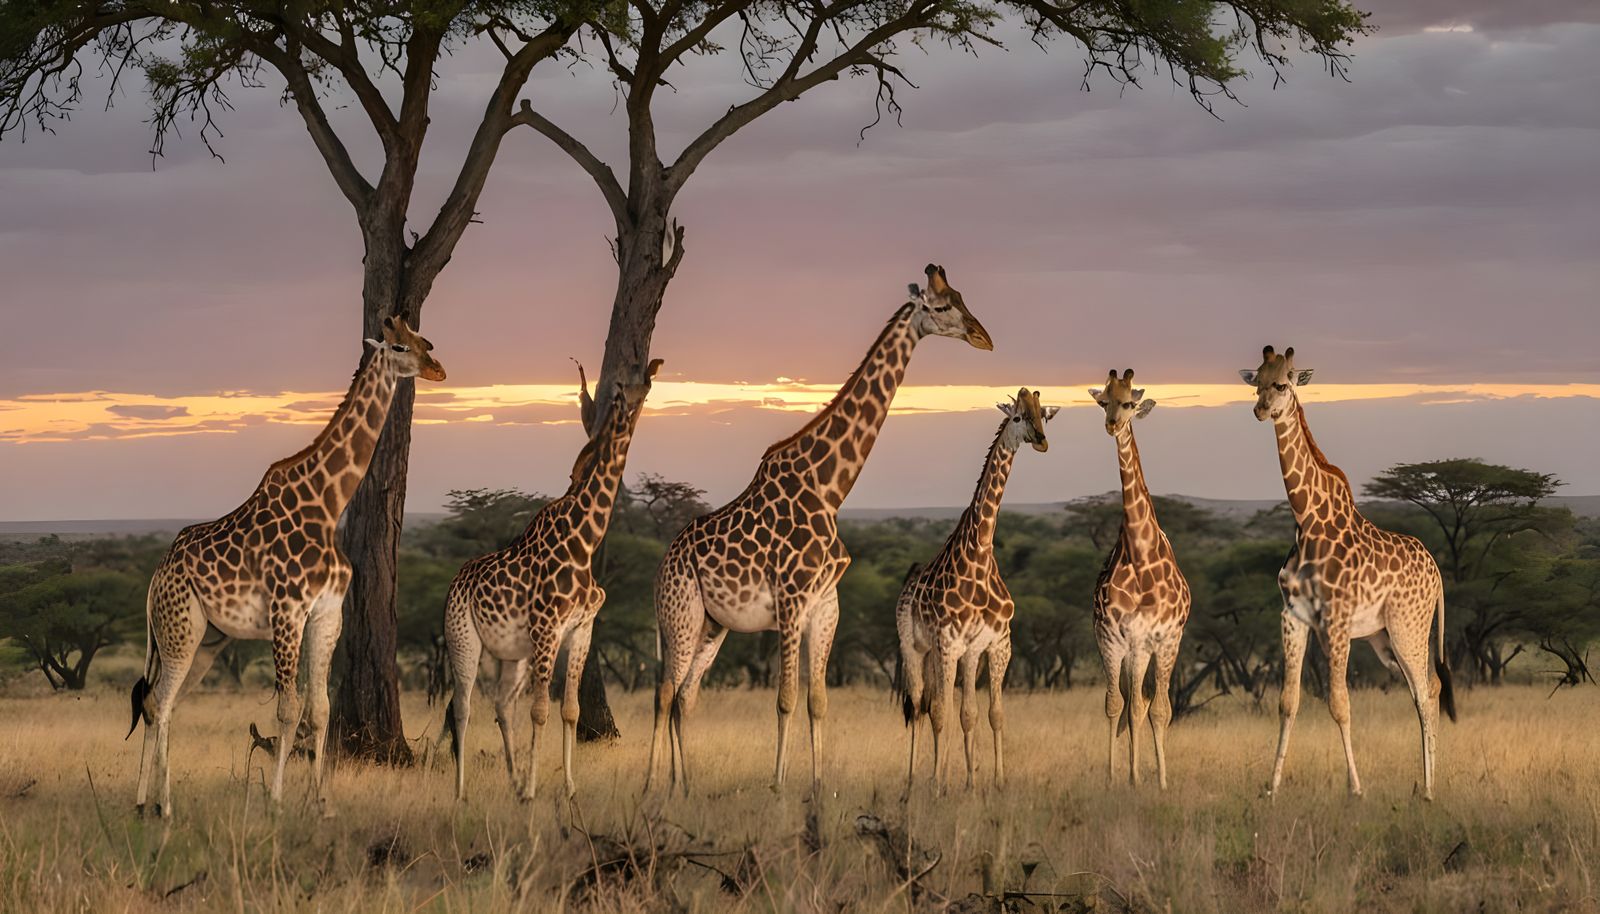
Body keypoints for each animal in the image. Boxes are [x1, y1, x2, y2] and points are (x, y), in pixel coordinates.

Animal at [127, 316, 446, 818]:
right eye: (399, 346)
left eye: (423, 340)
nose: (438, 370)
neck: (328, 504)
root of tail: (156, 578)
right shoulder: (287, 610)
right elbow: (288, 709)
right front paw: (276, 800)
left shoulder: (328, 613)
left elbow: (321, 709)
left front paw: (322, 803)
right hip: (179, 629)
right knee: (158, 702)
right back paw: (165, 806)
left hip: (206, 639)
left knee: (162, 704)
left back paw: (147, 802)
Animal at [441, 359, 660, 802]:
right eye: (621, 389)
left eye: (646, 386)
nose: (631, 412)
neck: (584, 543)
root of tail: (455, 582)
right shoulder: (546, 628)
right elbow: (540, 711)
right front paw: (532, 788)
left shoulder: (580, 628)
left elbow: (570, 710)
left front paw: (567, 787)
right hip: (463, 637)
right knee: (462, 706)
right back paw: (461, 792)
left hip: (514, 654)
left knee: (501, 705)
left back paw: (510, 779)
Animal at [646, 264, 993, 794]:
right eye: (940, 307)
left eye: (962, 297)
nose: (982, 337)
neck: (831, 488)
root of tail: (665, 560)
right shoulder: (790, 601)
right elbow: (785, 698)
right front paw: (778, 787)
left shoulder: (826, 606)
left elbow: (817, 701)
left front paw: (816, 784)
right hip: (679, 612)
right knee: (664, 692)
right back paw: (651, 786)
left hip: (712, 624)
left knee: (686, 695)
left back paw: (682, 788)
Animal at [895, 388, 1057, 792]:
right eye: (1017, 417)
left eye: (1044, 415)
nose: (1041, 441)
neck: (980, 556)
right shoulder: (948, 643)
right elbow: (941, 712)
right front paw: (937, 784)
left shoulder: (997, 644)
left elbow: (988, 713)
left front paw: (990, 782)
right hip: (915, 648)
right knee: (919, 705)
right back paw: (914, 779)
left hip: (956, 654)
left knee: (952, 707)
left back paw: (961, 775)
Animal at [1240, 345, 1456, 800]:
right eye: (1256, 384)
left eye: (1282, 383)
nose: (1261, 410)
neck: (1306, 520)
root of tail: (1437, 573)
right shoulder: (1293, 616)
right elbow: (1287, 701)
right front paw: (1272, 788)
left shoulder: (1337, 619)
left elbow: (1339, 704)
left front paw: (1356, 789)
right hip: (1384, 638)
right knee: (1424, 688)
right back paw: (1424, 784)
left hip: (1409, 627)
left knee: (1428, 691)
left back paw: (1429, 788)